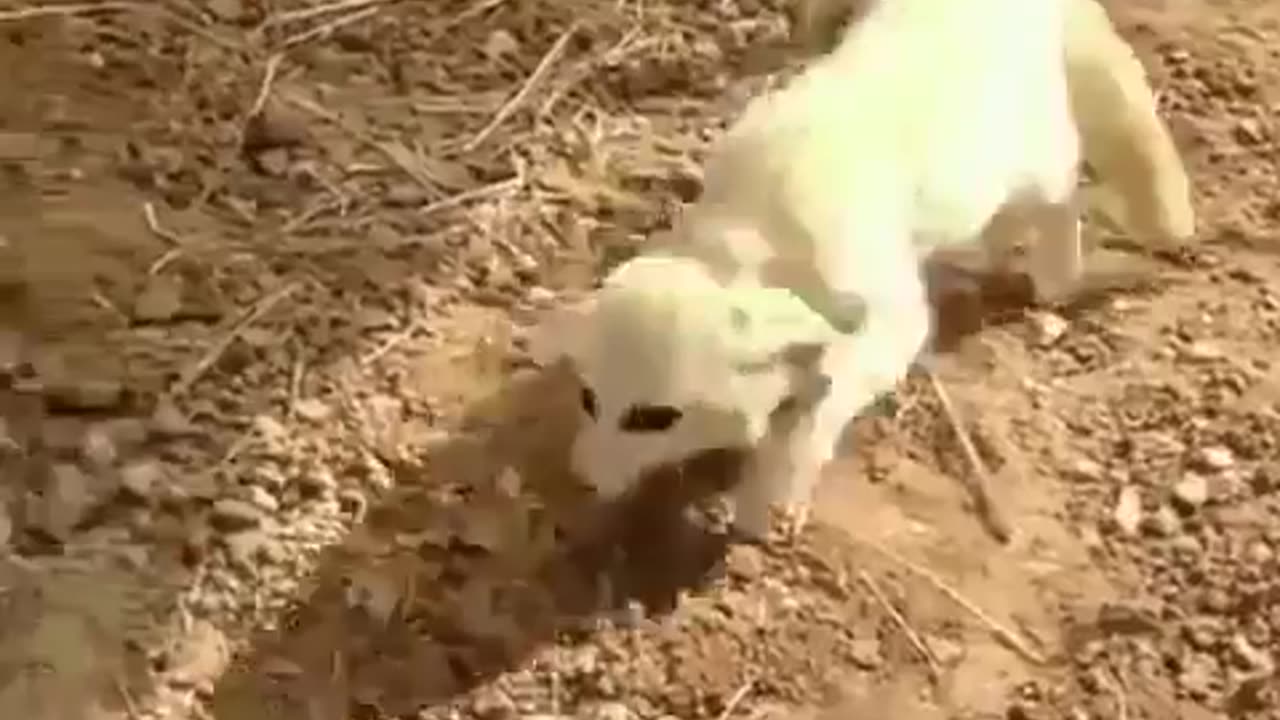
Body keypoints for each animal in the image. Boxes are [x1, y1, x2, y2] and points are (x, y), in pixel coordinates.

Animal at [529, 0, 1090, 538]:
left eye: (653, 418)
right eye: (588, 399)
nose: (581, 480)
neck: (752, 240)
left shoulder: (890, 319)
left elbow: (820, 405)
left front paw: (772, 489)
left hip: (1029, 160)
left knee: (1060, 194)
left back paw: (1057, 274)